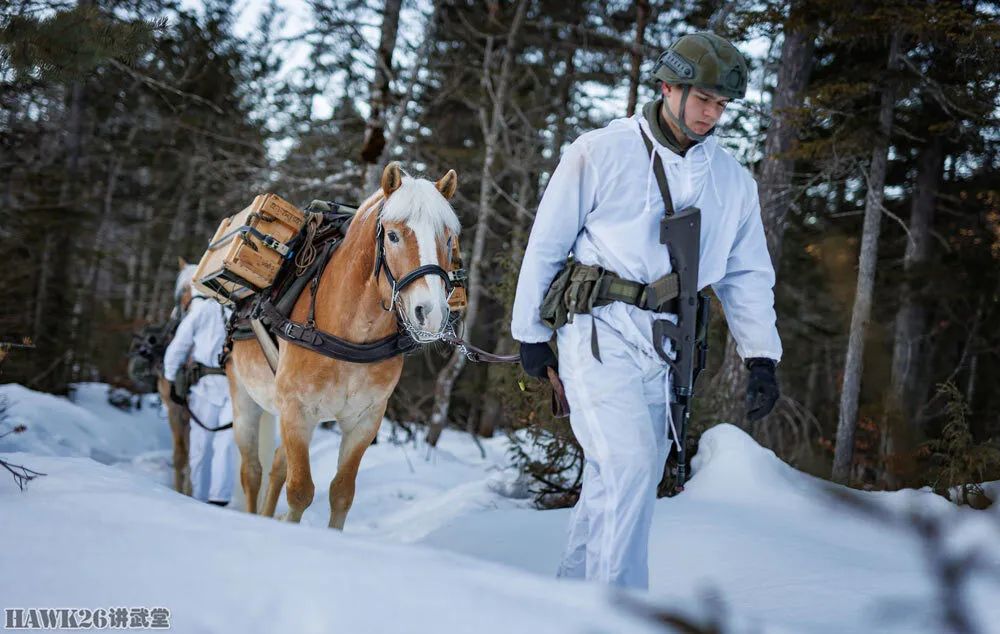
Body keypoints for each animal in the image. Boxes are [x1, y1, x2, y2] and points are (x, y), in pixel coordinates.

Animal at [227, 162, 460, 524]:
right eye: (393, 235)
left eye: (449, 239)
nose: (431, 313)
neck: (351, 333)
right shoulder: (295, 409)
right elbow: (300, 491)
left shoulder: (365, 420)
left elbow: (341, 494)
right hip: (244, 398)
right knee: (252, 471)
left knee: (276, 466)